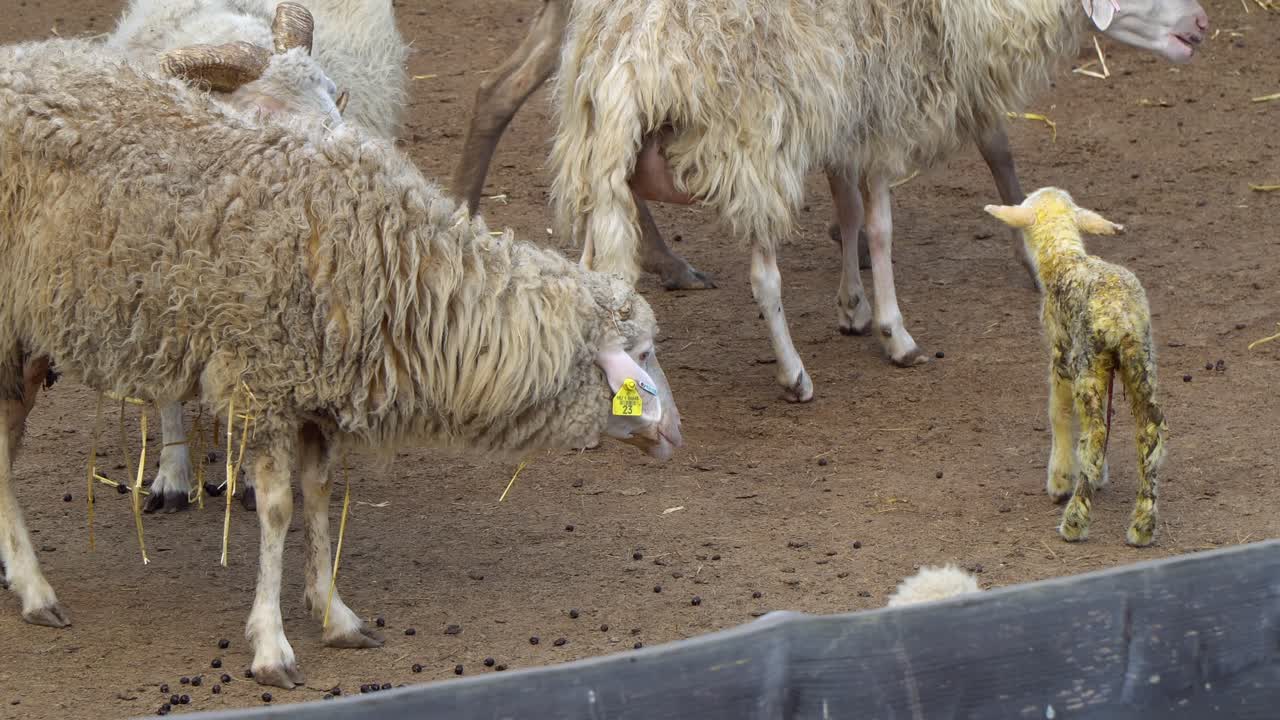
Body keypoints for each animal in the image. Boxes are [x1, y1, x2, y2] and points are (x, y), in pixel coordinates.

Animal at [97, 0, 410, 513]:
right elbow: (167, 393)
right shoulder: (155, 284)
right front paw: (171, 479)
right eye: (267, 109)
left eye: (330, 90)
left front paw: (249, 478)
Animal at [550, 0, 1208, 402]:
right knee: (763, 279)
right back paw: (794, 375)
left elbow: (848, 210)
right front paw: (895, 334)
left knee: (595, 272)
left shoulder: (851, 109)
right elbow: (882, 226)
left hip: (602, 157)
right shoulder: (884, 109)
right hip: (750, 145)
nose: (1202, 24)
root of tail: (628, 54)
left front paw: (853, 307)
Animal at [985, 187, 1166, 547]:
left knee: (1093, 436)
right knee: (1149, 437)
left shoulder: (1060, 354)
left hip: (1087, 366)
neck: (1064, 259)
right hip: (1139, 364)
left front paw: (1060, 478)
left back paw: (1074, 520)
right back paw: (1143, 524)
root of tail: (1119, 318)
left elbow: (1058, 413)